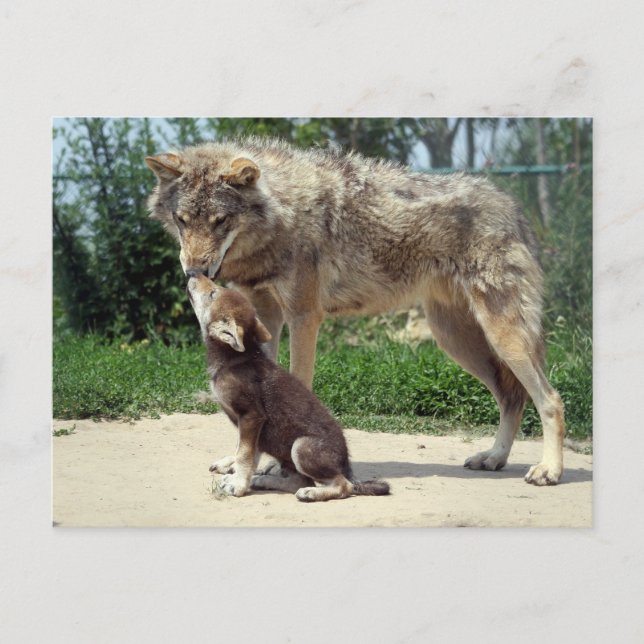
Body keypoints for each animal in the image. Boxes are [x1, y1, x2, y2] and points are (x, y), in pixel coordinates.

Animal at [186, 273, 390, 501]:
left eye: (213, 293)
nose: (193, 274)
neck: (235, 359)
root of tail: (346, 464)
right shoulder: (253, 427)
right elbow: (247, 453)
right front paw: (240, 478)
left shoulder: (252, 415)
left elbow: (245, 455)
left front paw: (238, 485)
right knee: (299, 480)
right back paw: (265, 481)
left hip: (301, 447)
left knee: (343, 486)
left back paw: (311, 493)